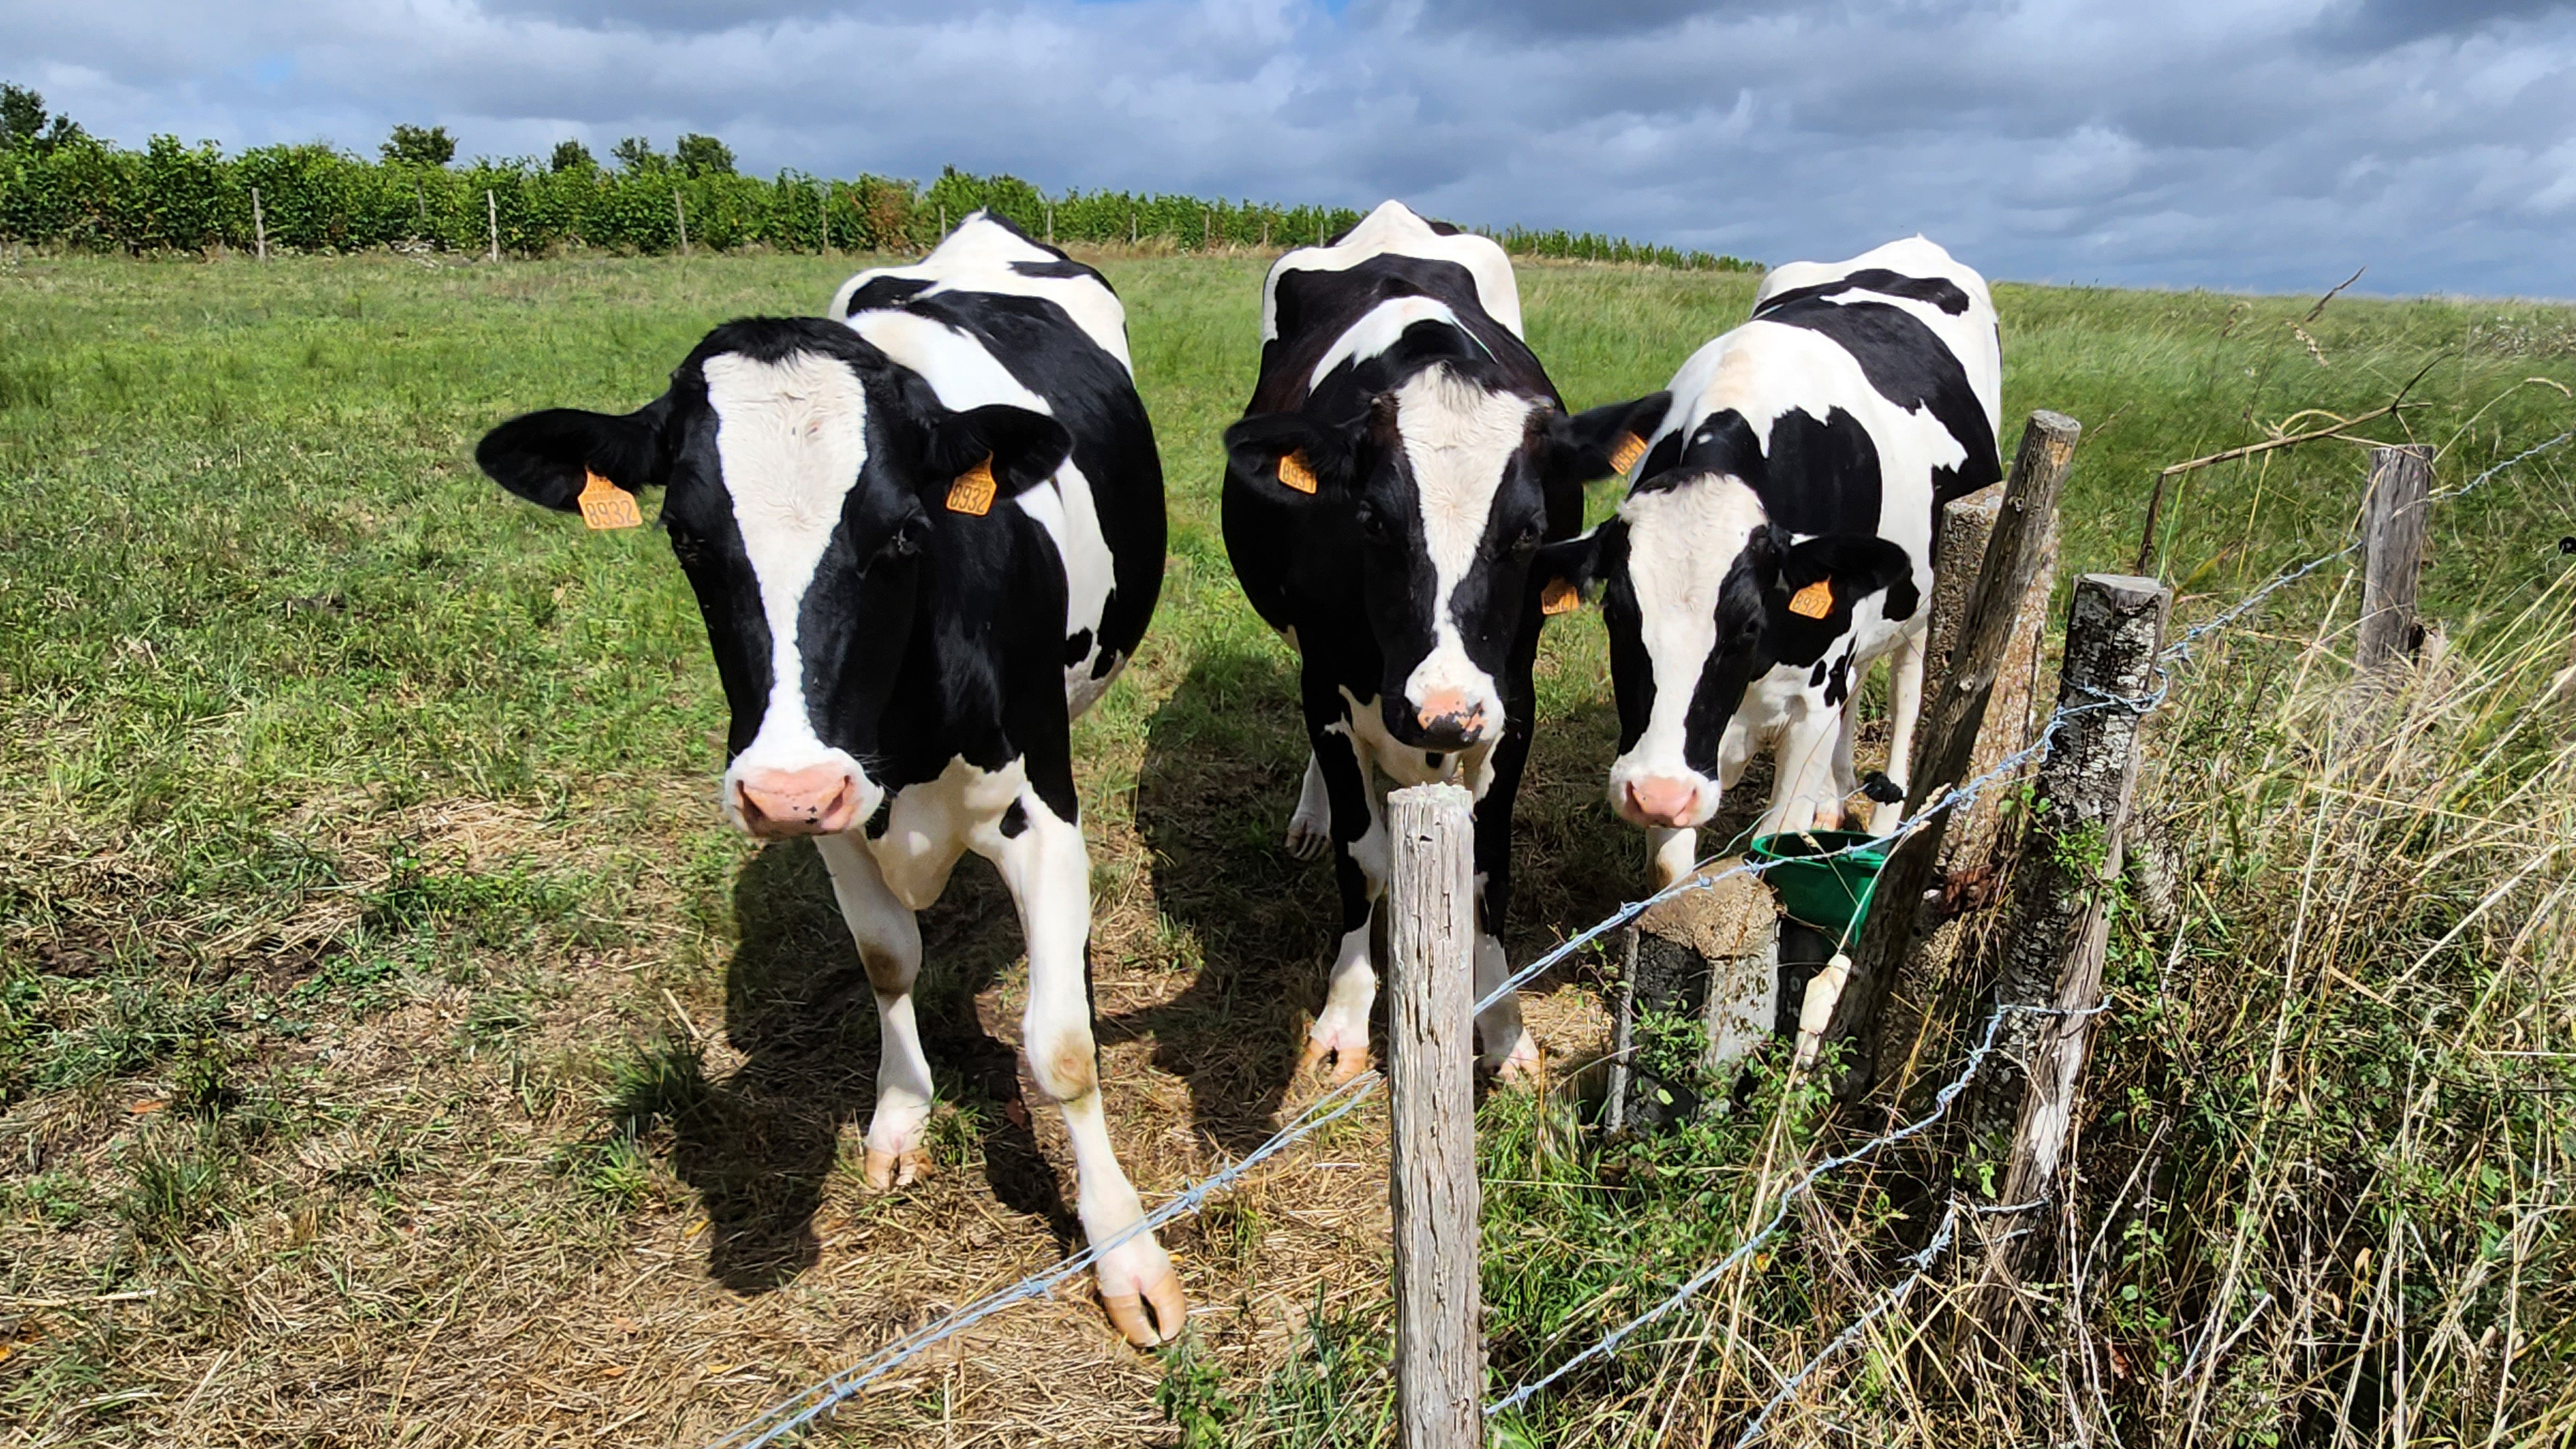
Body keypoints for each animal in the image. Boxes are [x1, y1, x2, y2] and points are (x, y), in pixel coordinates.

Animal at [474, 209, 1179, 1340]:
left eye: (904, 530)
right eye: (686, 536)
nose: (786, 790)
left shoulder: (1042, 811)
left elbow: (1062, 1044)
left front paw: (1126, 1253)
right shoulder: (840, 819)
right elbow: (889, 960)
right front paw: (900, 1119)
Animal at [1226, 206, 1669, 1083]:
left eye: (1530, 531)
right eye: (1371, 521)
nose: (1442, 714)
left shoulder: (1510, 702)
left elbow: (1487, 864)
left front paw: (1500, 1024)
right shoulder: (1328, 685)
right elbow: (1363, 854)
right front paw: (1344, 1017)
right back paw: (1310, 816)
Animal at [1535, 235, 1998, 887]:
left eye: (1749, 626)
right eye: (1615, 616)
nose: (1656, 793)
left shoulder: (1809, 704)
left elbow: (1773, 850)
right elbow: (1671, 871)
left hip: (1928, 599)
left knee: (1908, 691)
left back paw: (1883, 827)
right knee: (1858, 684)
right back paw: (1835, 799)